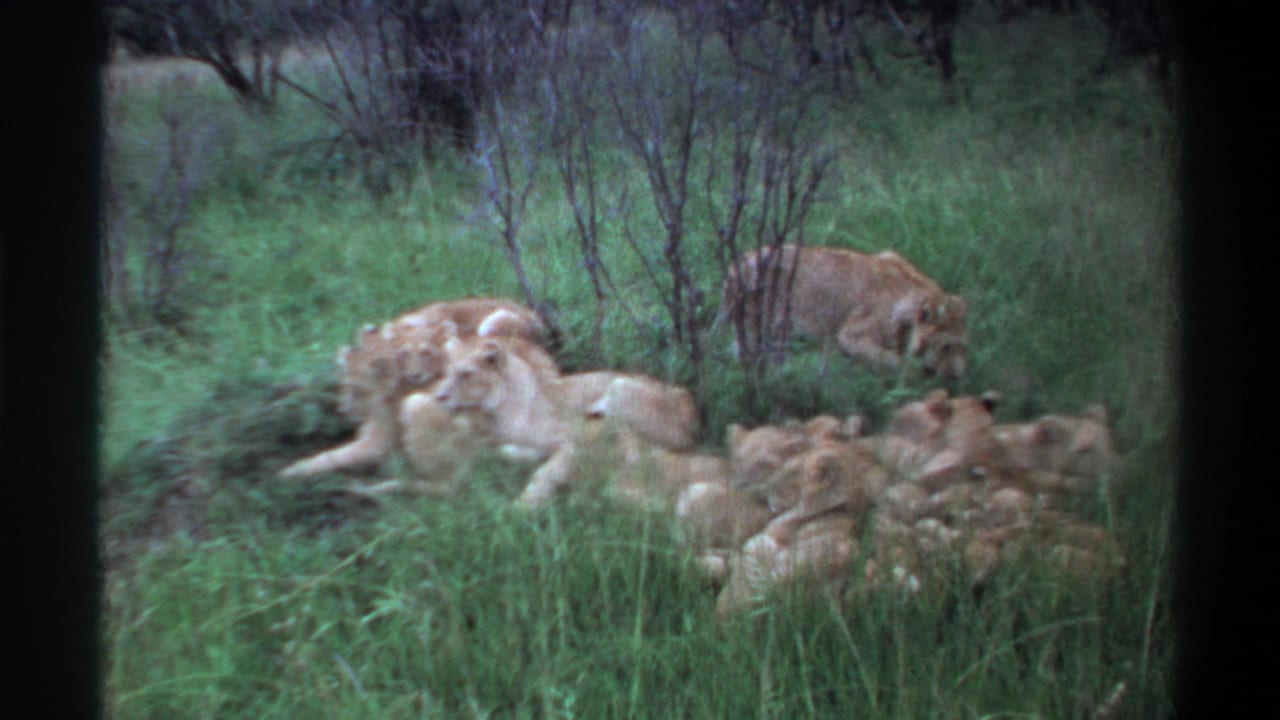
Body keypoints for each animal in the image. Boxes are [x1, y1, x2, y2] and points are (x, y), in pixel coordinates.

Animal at [722, 244, 968, 379]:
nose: (957, 377)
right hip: (761, 331)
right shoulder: (850, 336)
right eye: (946, 346)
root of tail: (737, 265)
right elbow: (898, 363)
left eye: (962, 346)